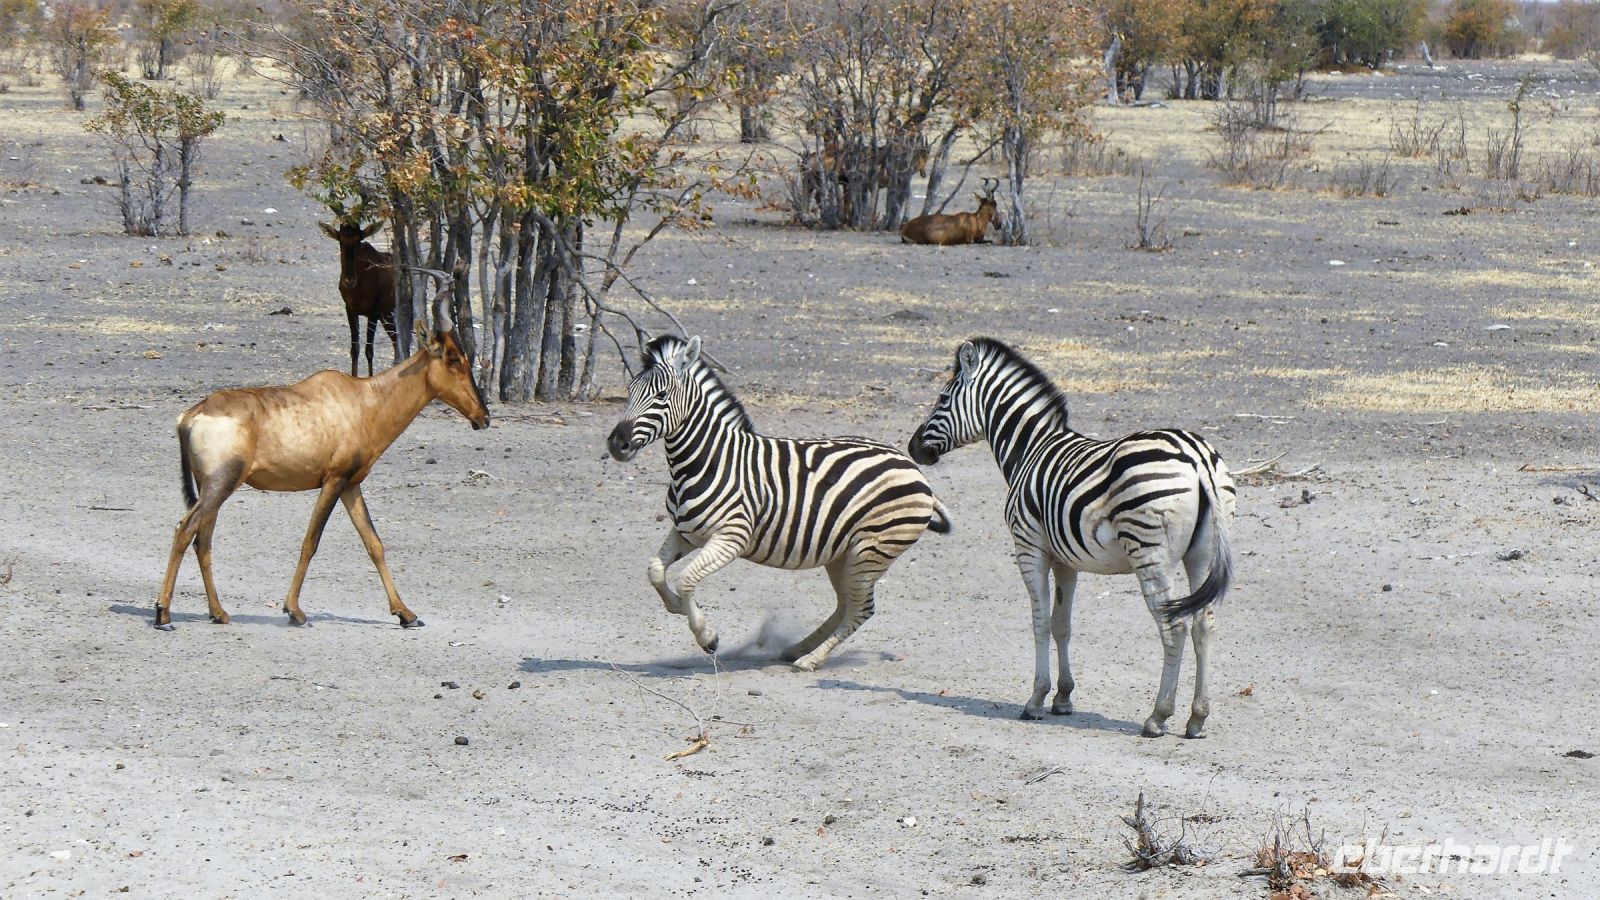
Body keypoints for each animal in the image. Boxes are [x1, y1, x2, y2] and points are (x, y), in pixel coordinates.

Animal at [606, 335, 952, 671]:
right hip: (843, 554)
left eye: (662, 395)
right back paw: (797, 648)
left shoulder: (731, 538)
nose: (616, 444)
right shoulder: (686, 532)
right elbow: (655, 570)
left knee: (861, 610)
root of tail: (911, 467)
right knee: (846, 605)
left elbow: (687, 580)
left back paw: (810, 660)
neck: (707, 462)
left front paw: (707, 636)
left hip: (870, 551)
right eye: (629, 391)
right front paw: (677, 607)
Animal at [908, 338, 1236, 737]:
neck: (1030, 449)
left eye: (942, 398)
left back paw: (1158, 716)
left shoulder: (1028, 547)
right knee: (1204, 626)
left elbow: (1039, 622)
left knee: (1174, 627)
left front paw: (1035, 699)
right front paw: (1063, 698)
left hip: (1150, 553)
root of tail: (1197, 456)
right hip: (1202, 554)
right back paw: (1197, 717)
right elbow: (1062, 624)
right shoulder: (1067, 560)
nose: (912, 448)